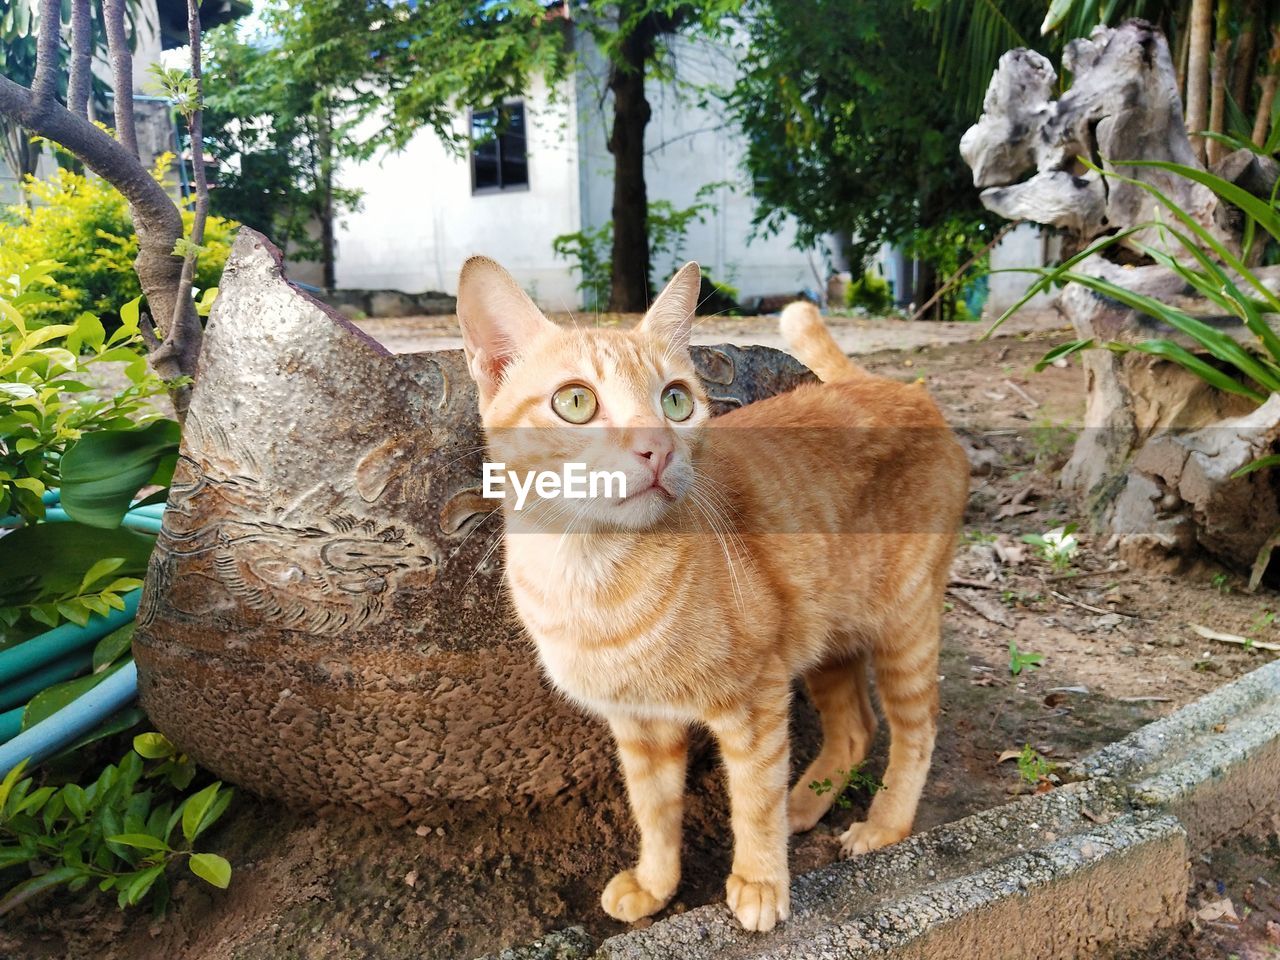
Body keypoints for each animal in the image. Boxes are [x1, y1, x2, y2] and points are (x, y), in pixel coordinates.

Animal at [455, 256, 962, 931]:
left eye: (675, 400)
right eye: (575, 401)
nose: (657, 449)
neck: (593, 578)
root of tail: (899, 385)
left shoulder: (756, 704)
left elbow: (753, 802)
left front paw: (760, 882)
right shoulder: (640, 725)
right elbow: (654, 810)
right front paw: (655, 884)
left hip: (905, 626)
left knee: (916, 728)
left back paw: (883, 826)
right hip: (825, 635)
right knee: (856, 727)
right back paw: (806, 806)